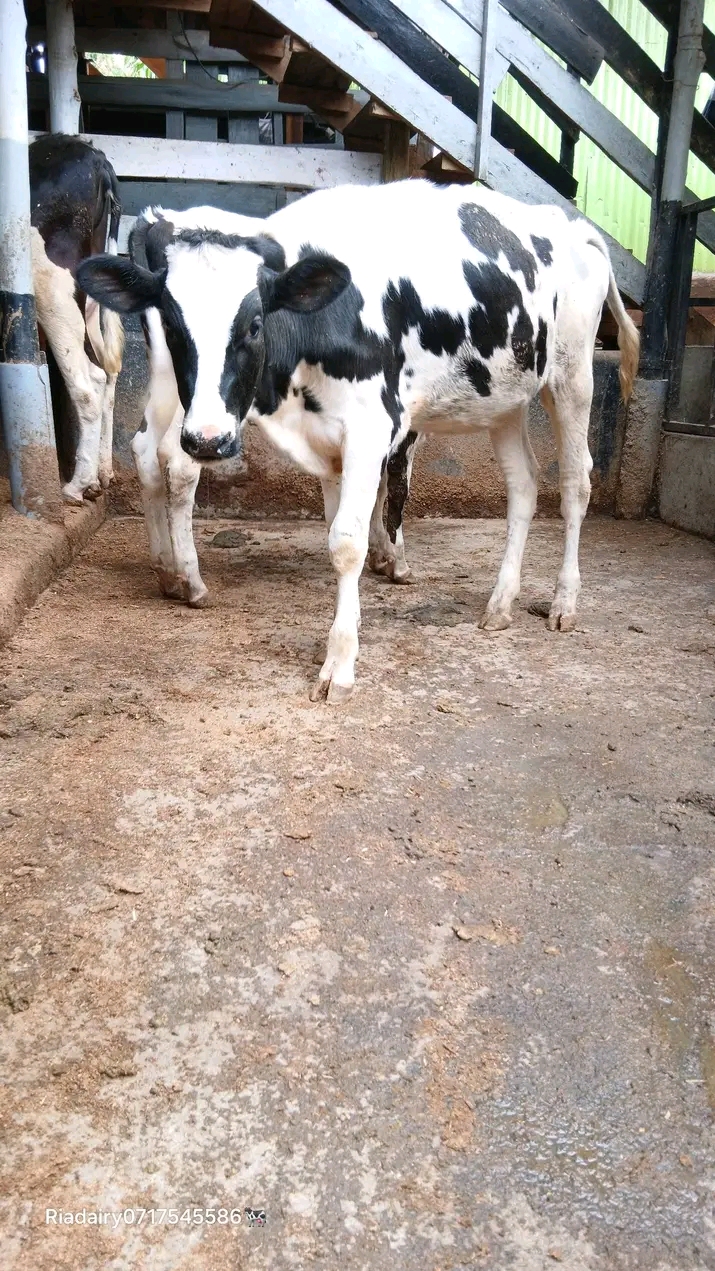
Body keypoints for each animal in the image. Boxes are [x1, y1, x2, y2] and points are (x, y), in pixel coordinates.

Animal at [78, 180, 639, 703]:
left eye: (255, 322)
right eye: (173, 327)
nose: (210, 440)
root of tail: (572, 224)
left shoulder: (375, 426)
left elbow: (351, 537)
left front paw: (340, 663)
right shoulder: (330, 440)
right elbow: (340, 530)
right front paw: (360, 607)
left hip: (572, 375)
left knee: (575, 484)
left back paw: (564, 601)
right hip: (504, 396)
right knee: (523, 485)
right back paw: (500, 602)